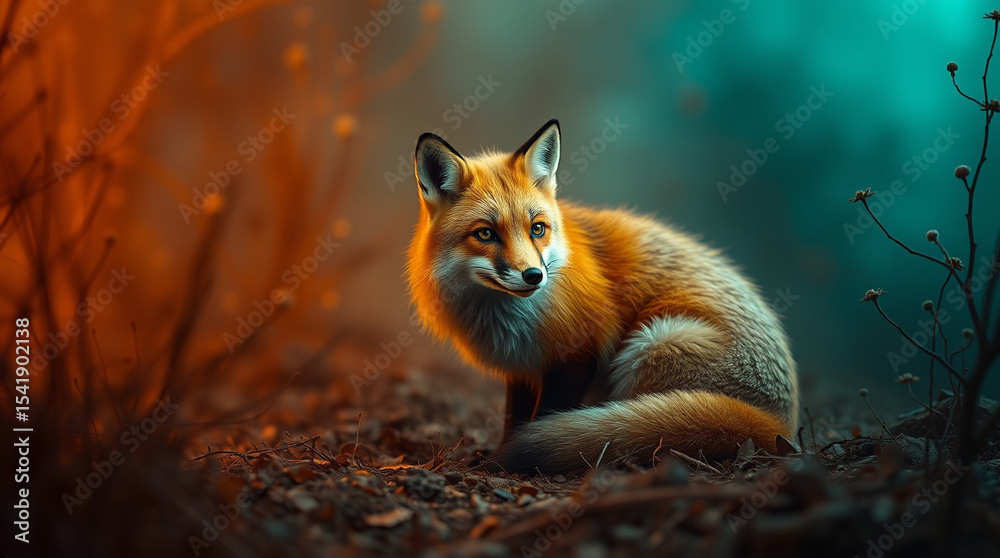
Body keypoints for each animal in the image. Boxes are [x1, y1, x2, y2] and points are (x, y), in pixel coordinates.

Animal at [406, 119, 798, 474]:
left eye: (537, 229)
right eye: (485, 234)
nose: (534, 276)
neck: (505, 318)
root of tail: (783, 423)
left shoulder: (577, 354)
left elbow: (543, 416)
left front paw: (508, 461)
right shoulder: (522, 367)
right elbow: (514, 419)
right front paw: (501, 452)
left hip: (651, 345)